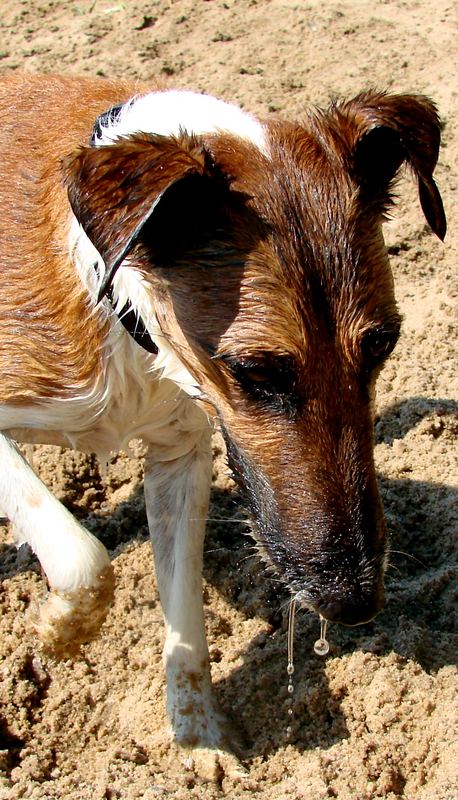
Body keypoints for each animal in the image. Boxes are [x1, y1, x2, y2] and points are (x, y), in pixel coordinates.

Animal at [0, 72, 446, 752]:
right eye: (256, 371)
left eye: (383, 345)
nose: (355, 603)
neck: (117, 294)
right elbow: (82, 559)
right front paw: (60, 631)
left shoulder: (180, 457)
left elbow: (185, 618)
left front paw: (200, 737)